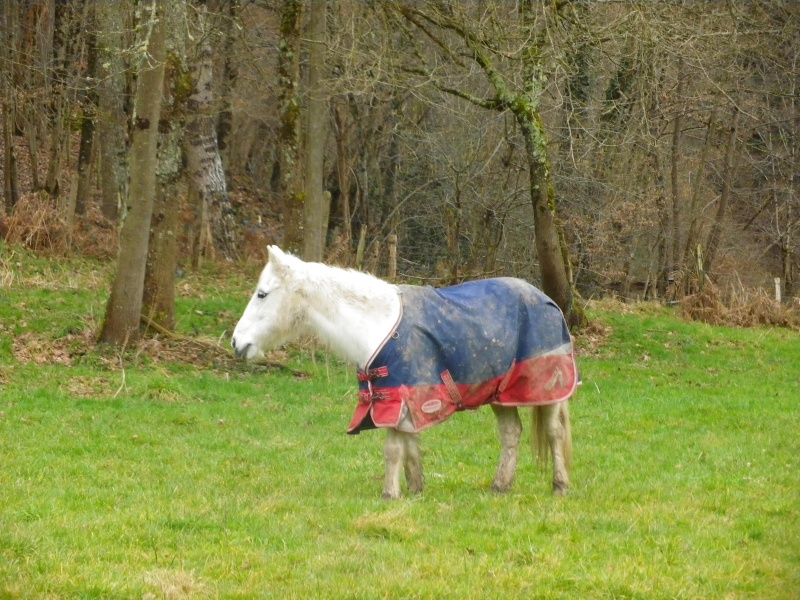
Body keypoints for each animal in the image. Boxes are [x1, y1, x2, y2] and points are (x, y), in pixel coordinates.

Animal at [231, 246, 576, 500]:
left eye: (262, 294)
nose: (237, 342)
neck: (377, 324)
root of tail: (547, 300)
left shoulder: (397, 397)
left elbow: (393, 449)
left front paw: (390, 494)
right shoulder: (401, 398)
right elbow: (409, 447)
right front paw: (415, 488)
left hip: (549, 388)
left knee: (554, 432)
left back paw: (560, 486)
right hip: (499, 393)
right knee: (511, 433)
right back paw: (500, 486)